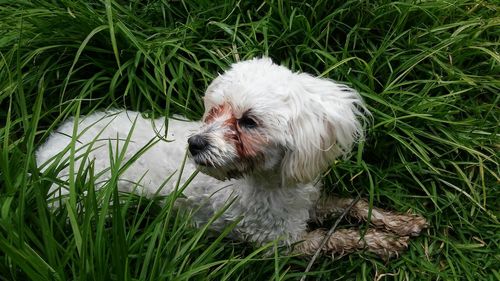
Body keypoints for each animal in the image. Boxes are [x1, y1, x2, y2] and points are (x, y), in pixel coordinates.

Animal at [37, 58, 426, 258]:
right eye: (214, 109)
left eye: (248, 121)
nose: (194, 143)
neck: (272, 182)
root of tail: (48, 151)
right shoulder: (279, 242)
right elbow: (338, 239)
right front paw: (382, 242)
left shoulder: (308, 201)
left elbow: (351, 203)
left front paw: (397, 222)